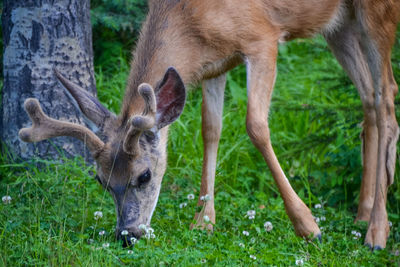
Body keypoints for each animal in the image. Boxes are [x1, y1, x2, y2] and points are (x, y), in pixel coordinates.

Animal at [19, 0, 400, 250]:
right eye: (101, 180)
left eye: (144, 175)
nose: (127, 235)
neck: (190, 20)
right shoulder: (215, 64)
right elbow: (210, 130)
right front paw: (203, 222)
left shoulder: (262, 38)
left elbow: (255, 125)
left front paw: (308, 227)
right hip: (341, 23)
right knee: (369, 99)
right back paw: (363, 214)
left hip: (376, 11)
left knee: (386, 97)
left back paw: (377, 233)